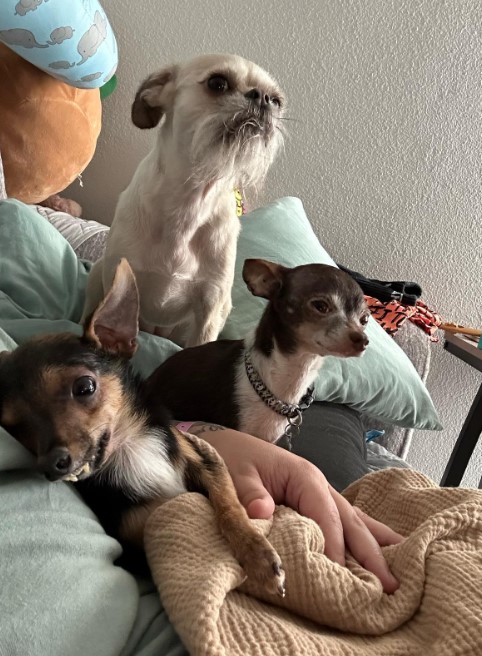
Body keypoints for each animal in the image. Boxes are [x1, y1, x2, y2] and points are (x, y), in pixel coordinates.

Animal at [83, 53, 284, 346]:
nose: (263, 98)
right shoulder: (116, 277)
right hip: (97, 275)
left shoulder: (210, 305)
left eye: (278, 101)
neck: (190, 202)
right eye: (217, 83)